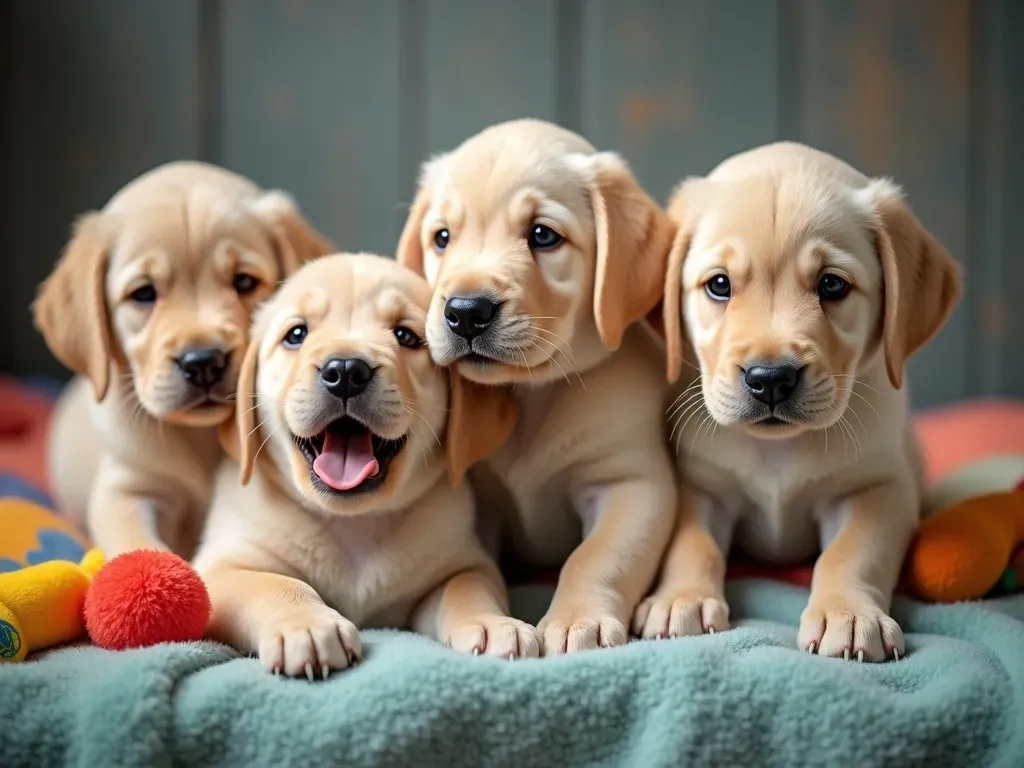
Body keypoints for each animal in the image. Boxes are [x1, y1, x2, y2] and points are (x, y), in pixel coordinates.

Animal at [34, 162, 331, 561]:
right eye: (143, 293)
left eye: (244, 282)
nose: (203, 361)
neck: (202, 438)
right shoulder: (127, 490)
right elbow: (138, 545)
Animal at [190, 253, 536, 679]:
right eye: (296, 334)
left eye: (406, 336)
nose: (344, 371)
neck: (354, 521)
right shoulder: (216, 571)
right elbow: (274, 584)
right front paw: (307, 625)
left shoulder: (462, 562)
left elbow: (467, 587)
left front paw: (491, 624)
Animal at [399, 118, 679, 655]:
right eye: (442, 238)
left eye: (543, 235)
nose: (465, 311)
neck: (532, 395)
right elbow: (466, 579)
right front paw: (486, 622)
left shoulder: (632, 482)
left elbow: (595, 557)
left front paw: (577, 618)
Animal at [634, 143, 962, 663]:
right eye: (719, 285)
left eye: (832, 285)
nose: (770, 379)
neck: (778, 450)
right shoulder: (700, 486)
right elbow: (692, 542)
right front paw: (679, 600)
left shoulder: (877, 489)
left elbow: (851, 551)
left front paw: (848, 615)